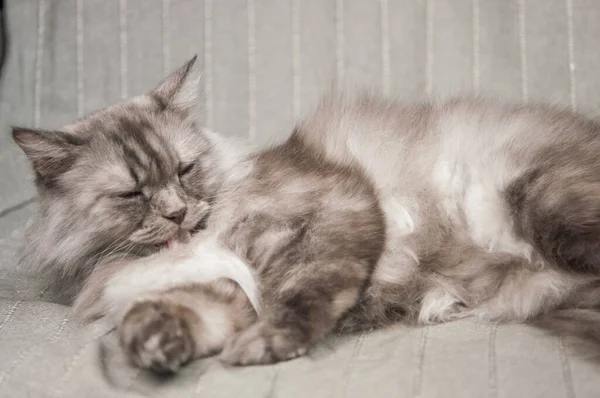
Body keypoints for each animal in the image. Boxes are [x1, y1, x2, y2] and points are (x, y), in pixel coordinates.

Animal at [10, 56, 600, 374]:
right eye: (132, 194)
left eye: (184, 169)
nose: (178, 214)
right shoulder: (220, 289)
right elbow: (176, 314)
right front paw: (152, 347)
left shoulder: (329, 214)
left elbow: (301, 296)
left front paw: (262, 347)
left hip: (544, 201)